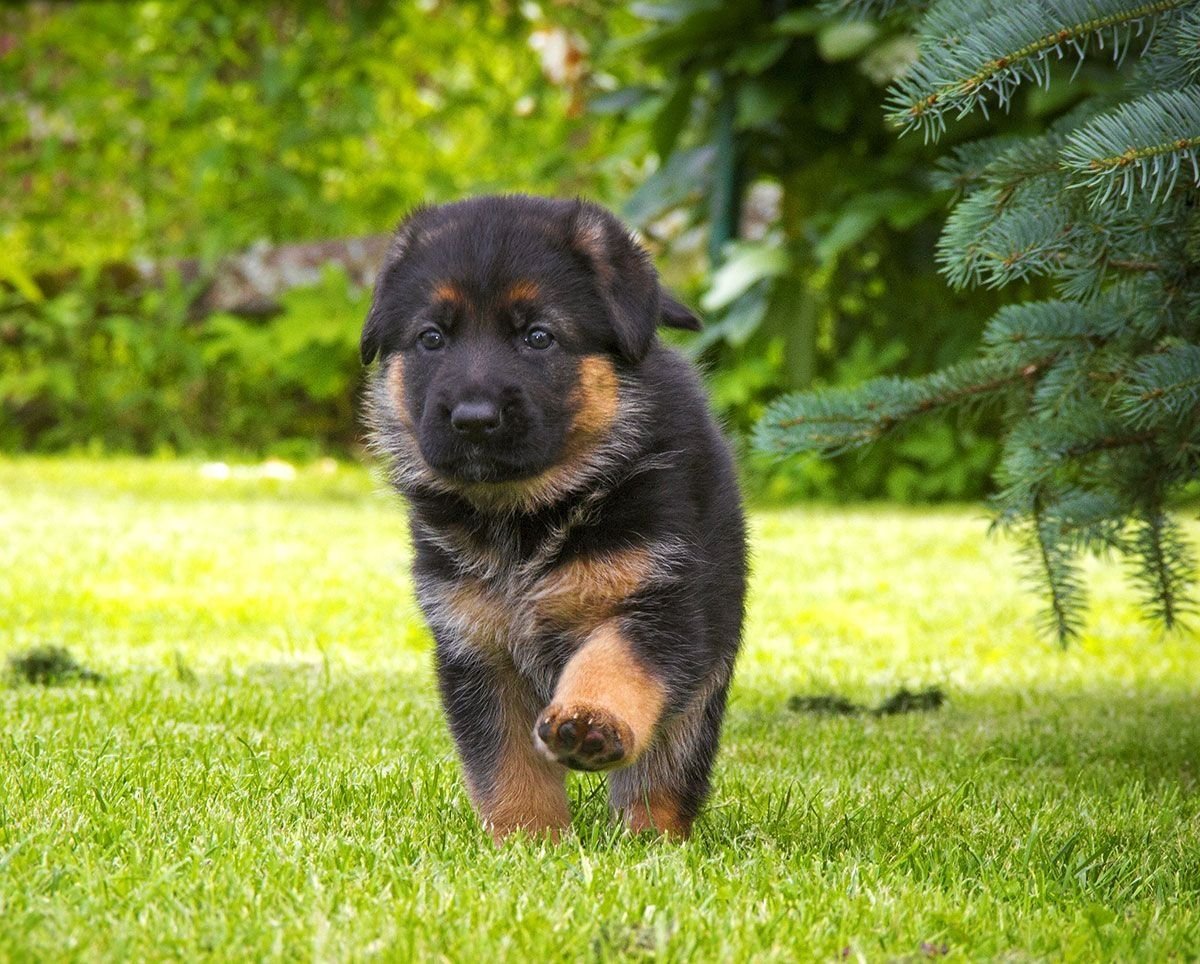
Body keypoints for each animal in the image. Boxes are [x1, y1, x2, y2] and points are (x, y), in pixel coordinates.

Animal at [360, 198, 744, 845]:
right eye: (431, 338)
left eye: (538, 337)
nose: (473, 418)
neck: (529, 515)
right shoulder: (476, 646)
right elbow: (506, 763)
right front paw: (527, 843)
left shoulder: (662, 604)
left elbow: (614, 661)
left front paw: (590, 721)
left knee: (664, 773)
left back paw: (651, 840)